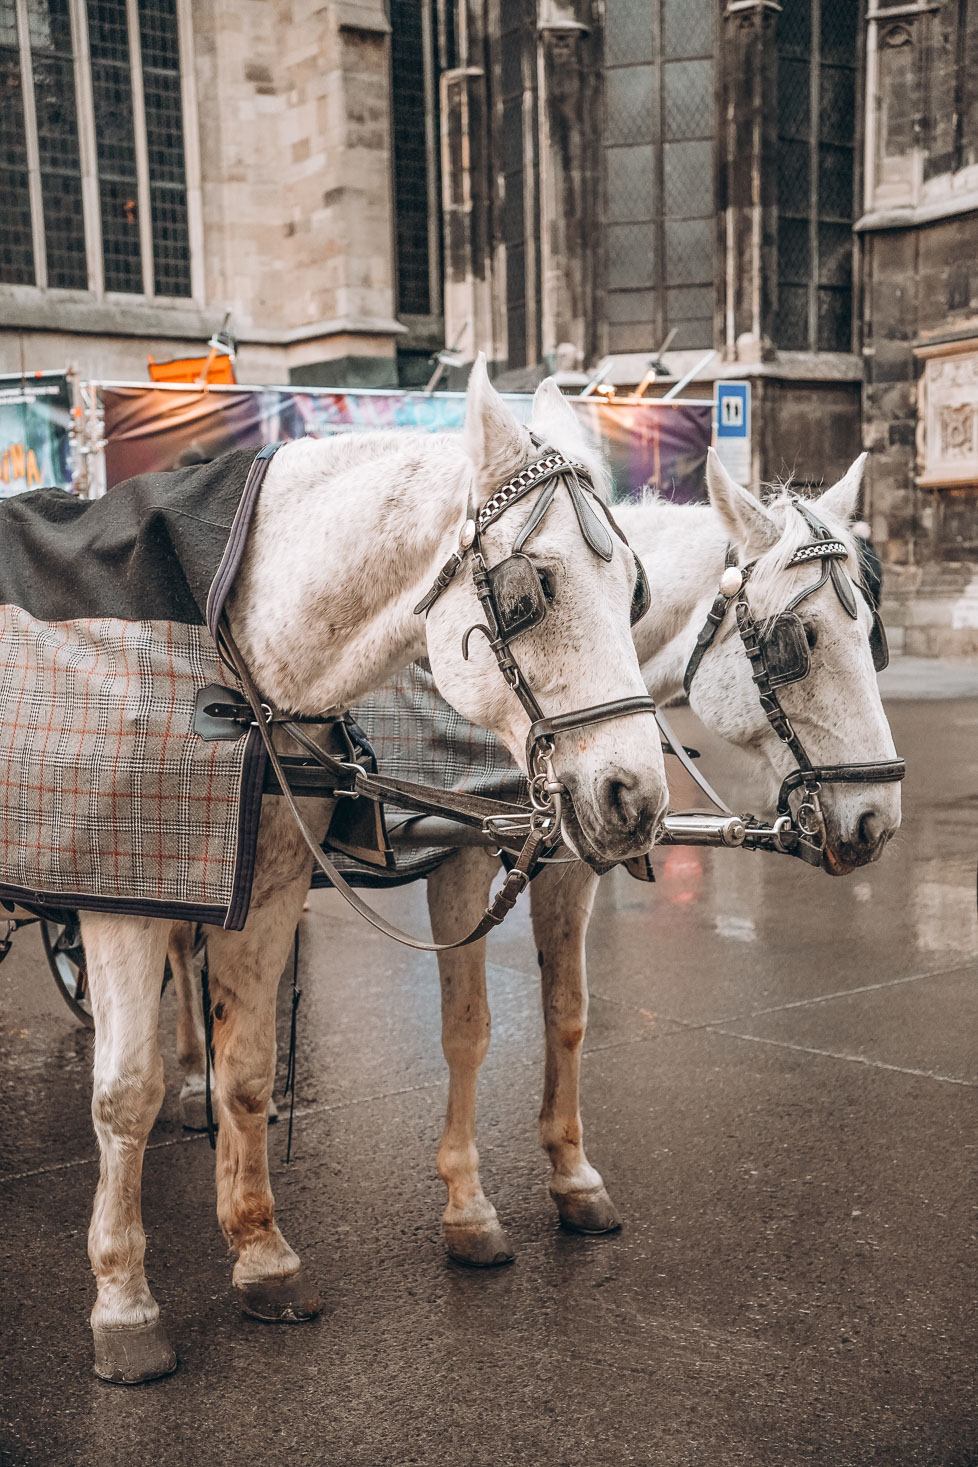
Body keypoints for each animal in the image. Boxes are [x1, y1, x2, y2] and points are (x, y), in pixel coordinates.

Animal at [78, 360, 674, 1378]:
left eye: (634, 587)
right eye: (535, 588)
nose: (635, 796)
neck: (230, 654)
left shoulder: (267, 885)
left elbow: (251, 1069)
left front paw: (263, 1253)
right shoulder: (119, 889)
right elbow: (124, 1094)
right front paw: (123, 1302)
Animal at [172, 445, 909, 1273]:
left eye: (873, 634)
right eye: (800, 640)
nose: (877, 819)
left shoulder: (570, 858)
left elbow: (568, 1012)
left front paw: (572, 1173)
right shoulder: (458, 858)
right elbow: (467, 1029)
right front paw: (467, 1203)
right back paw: (195, 1075)